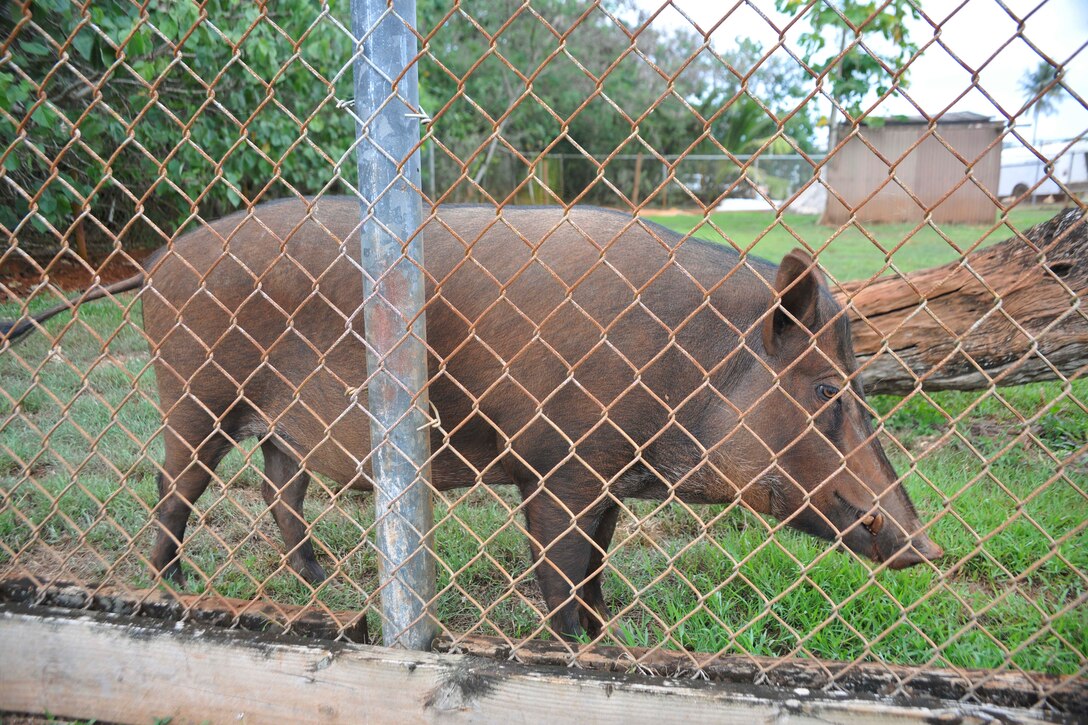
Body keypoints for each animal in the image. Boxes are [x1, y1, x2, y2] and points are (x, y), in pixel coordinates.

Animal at [2, 197, 942, 637]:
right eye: (824, 392)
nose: (927, 546)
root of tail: (158, 260)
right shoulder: (560, 467)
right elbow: (559, 571)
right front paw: (578, 645)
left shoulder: (607, 478)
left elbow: (597, 568)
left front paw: (611, 629)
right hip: (196, 391)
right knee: (177, 484)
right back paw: (174, 582)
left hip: (282, 424)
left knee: (278, 486)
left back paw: (319, 580)